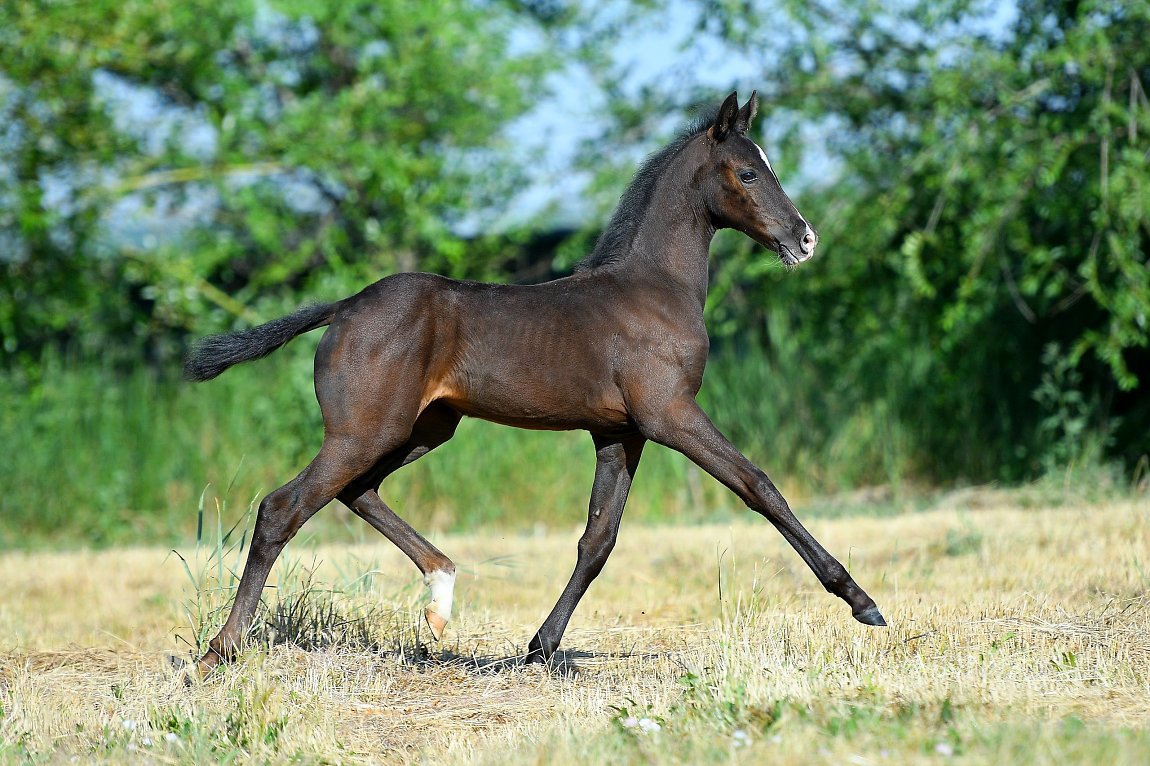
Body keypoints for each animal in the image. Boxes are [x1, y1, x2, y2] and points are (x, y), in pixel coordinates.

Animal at [186, 90, 887, 676]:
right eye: (747, 173)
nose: (805, 239)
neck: (653, 289)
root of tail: (345, 306)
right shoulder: (669, 414)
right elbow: (760, 487)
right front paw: (861, 601)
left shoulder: (619, 433)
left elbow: (597, 540)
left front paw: (542, 647)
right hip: (367, 428)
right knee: (283, 507)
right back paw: (222, 648)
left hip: (422, 427)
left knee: (357, 492)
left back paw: (441, 595)